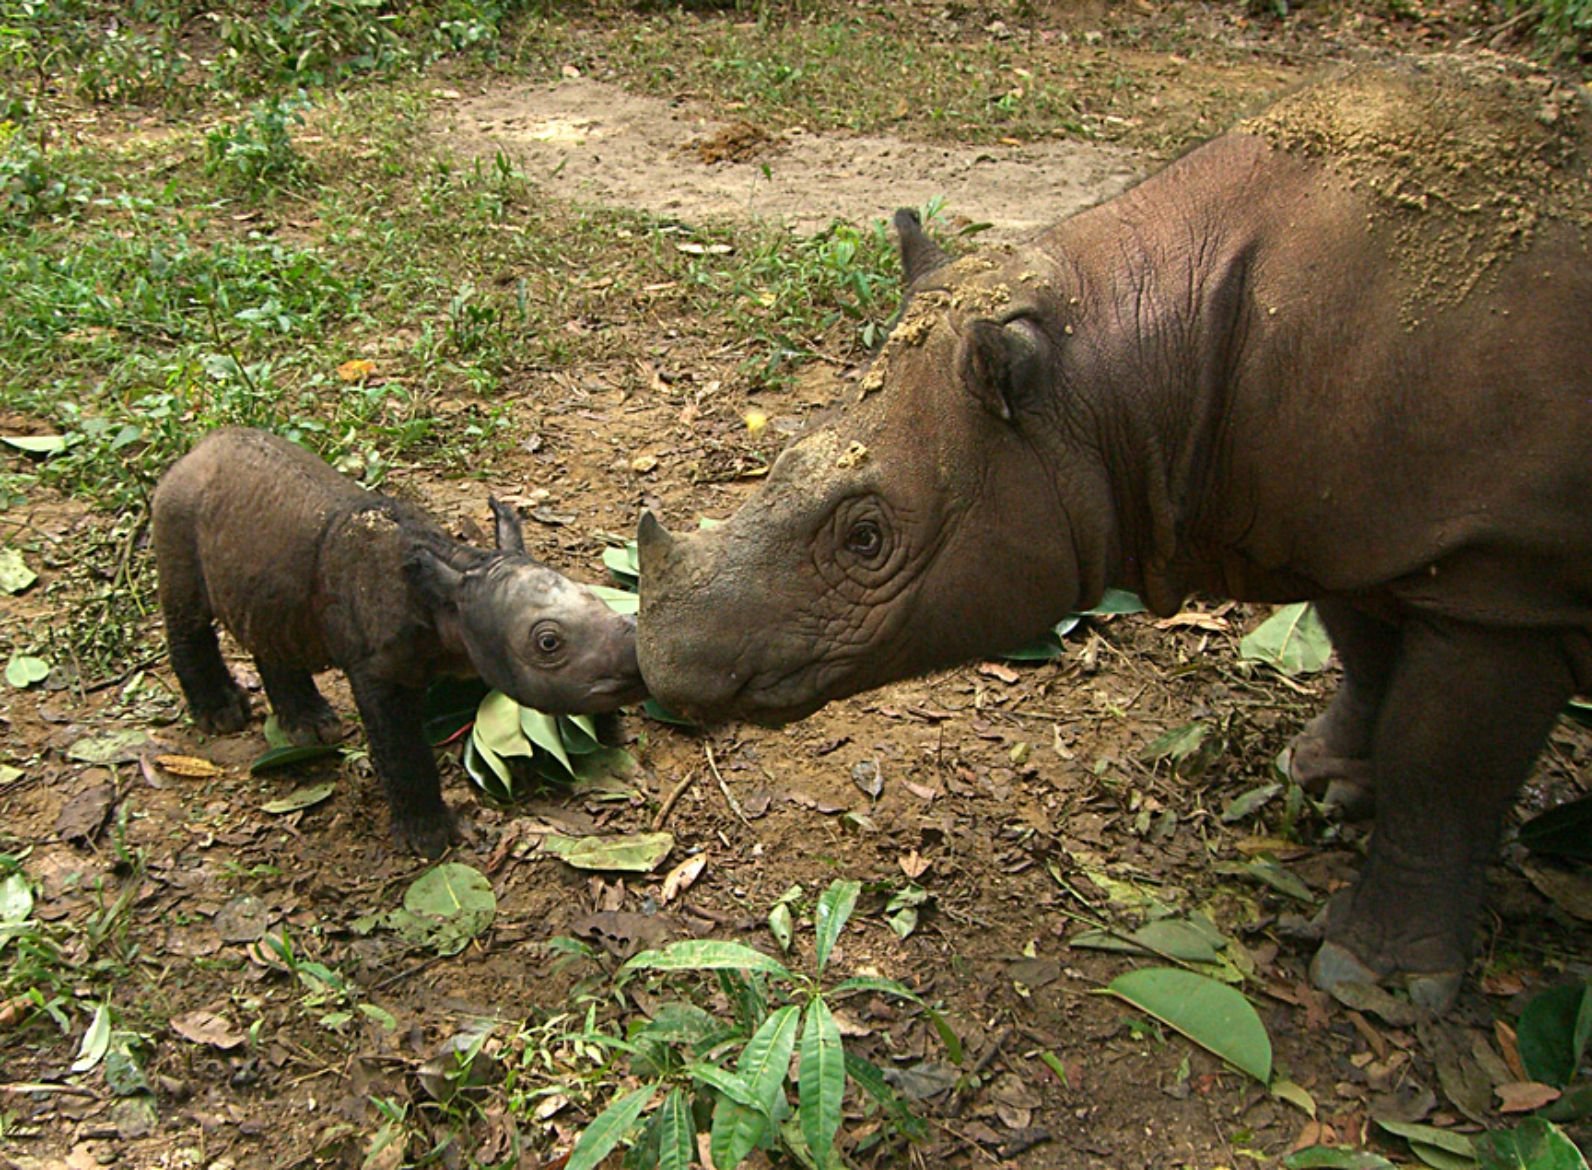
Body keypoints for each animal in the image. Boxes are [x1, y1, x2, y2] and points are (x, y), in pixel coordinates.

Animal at [150, 426, 646, 853]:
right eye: (547, 644)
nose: (636, 662)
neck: (457, 581)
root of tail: (195, 450)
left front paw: (603, 729)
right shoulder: (377, 668)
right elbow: (400, 748)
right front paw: (430, 840)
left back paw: (309, 727)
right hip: (176, 508)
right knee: (188, 610)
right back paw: (222, 715)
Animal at [639, 64, 1592, 1012]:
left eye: (866, 540)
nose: (662, 662)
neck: (1111, 371)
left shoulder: (1504, 575)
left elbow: (1443, 768)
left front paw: (1374, 981)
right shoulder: (1357, 519)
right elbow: (1363, 647)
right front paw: (1322, 778)